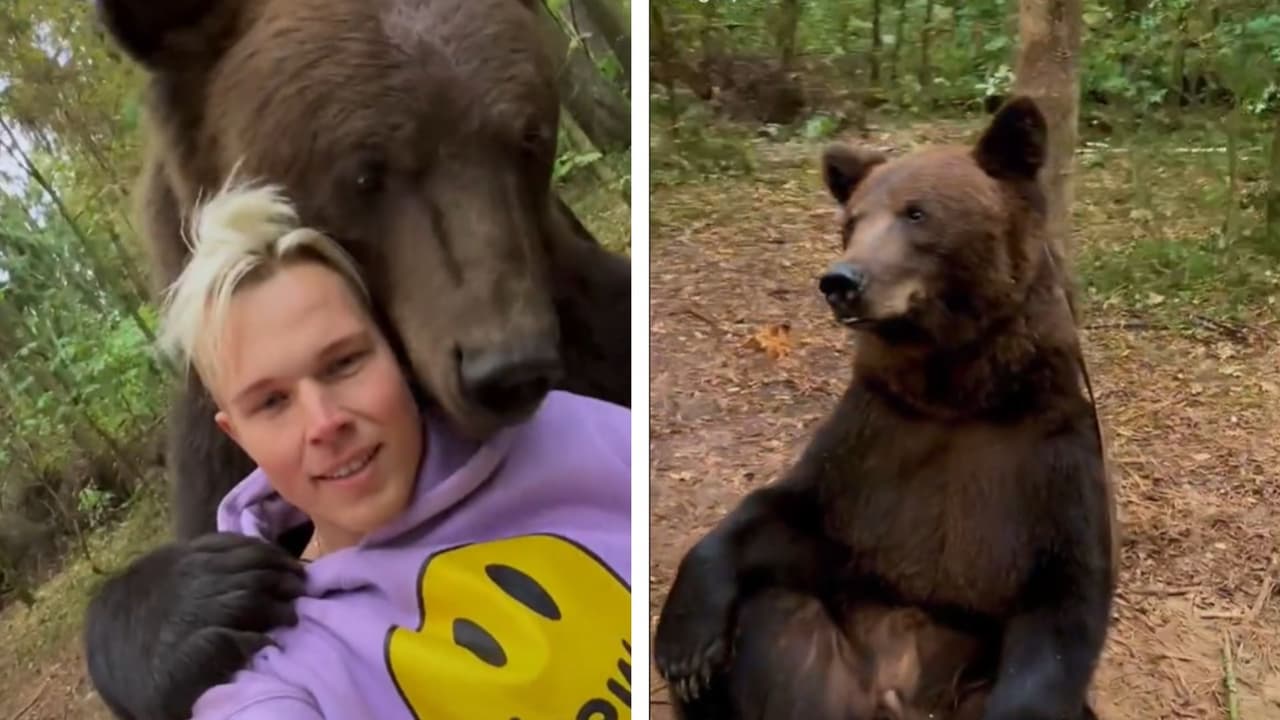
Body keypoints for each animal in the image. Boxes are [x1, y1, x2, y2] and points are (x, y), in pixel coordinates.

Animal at [652, 96, 1117, 720]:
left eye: (916, 213)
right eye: (851, 221)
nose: (841, 281)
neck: (955, 392)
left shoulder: (1043, 461)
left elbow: (1062, 602)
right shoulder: (873, 442)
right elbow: (788, 514)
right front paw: (685, 644)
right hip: (820, 665)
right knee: (771, 618)